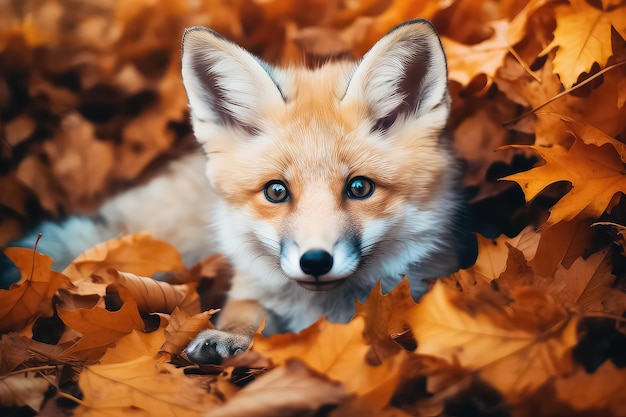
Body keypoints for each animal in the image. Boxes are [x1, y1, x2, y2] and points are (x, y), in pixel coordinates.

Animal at [6, 19, 472, 362]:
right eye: (276, 192)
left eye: (359, 187)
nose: (315, 261)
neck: (321, 313)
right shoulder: (249, 289)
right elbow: (243, 313)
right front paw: (227, 336)